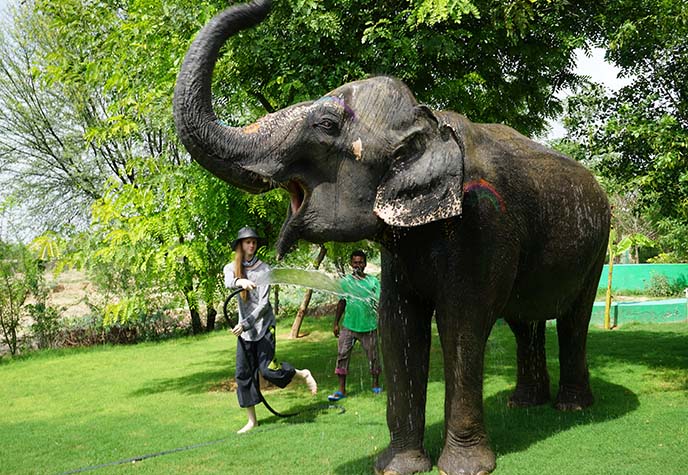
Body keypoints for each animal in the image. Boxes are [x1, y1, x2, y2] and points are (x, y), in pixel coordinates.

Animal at [173, 1, 611, 474]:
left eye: (326, 124)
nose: (267, 8)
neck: (429, 120)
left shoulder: (482, 223)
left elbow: (461, 324)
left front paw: (464, 468)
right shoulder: (400, 246)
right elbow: (397, 324)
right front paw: (397, 466)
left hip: (599, 243)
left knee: (573, 318)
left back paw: (572, 407)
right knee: (524, 321)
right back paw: (524, 404)